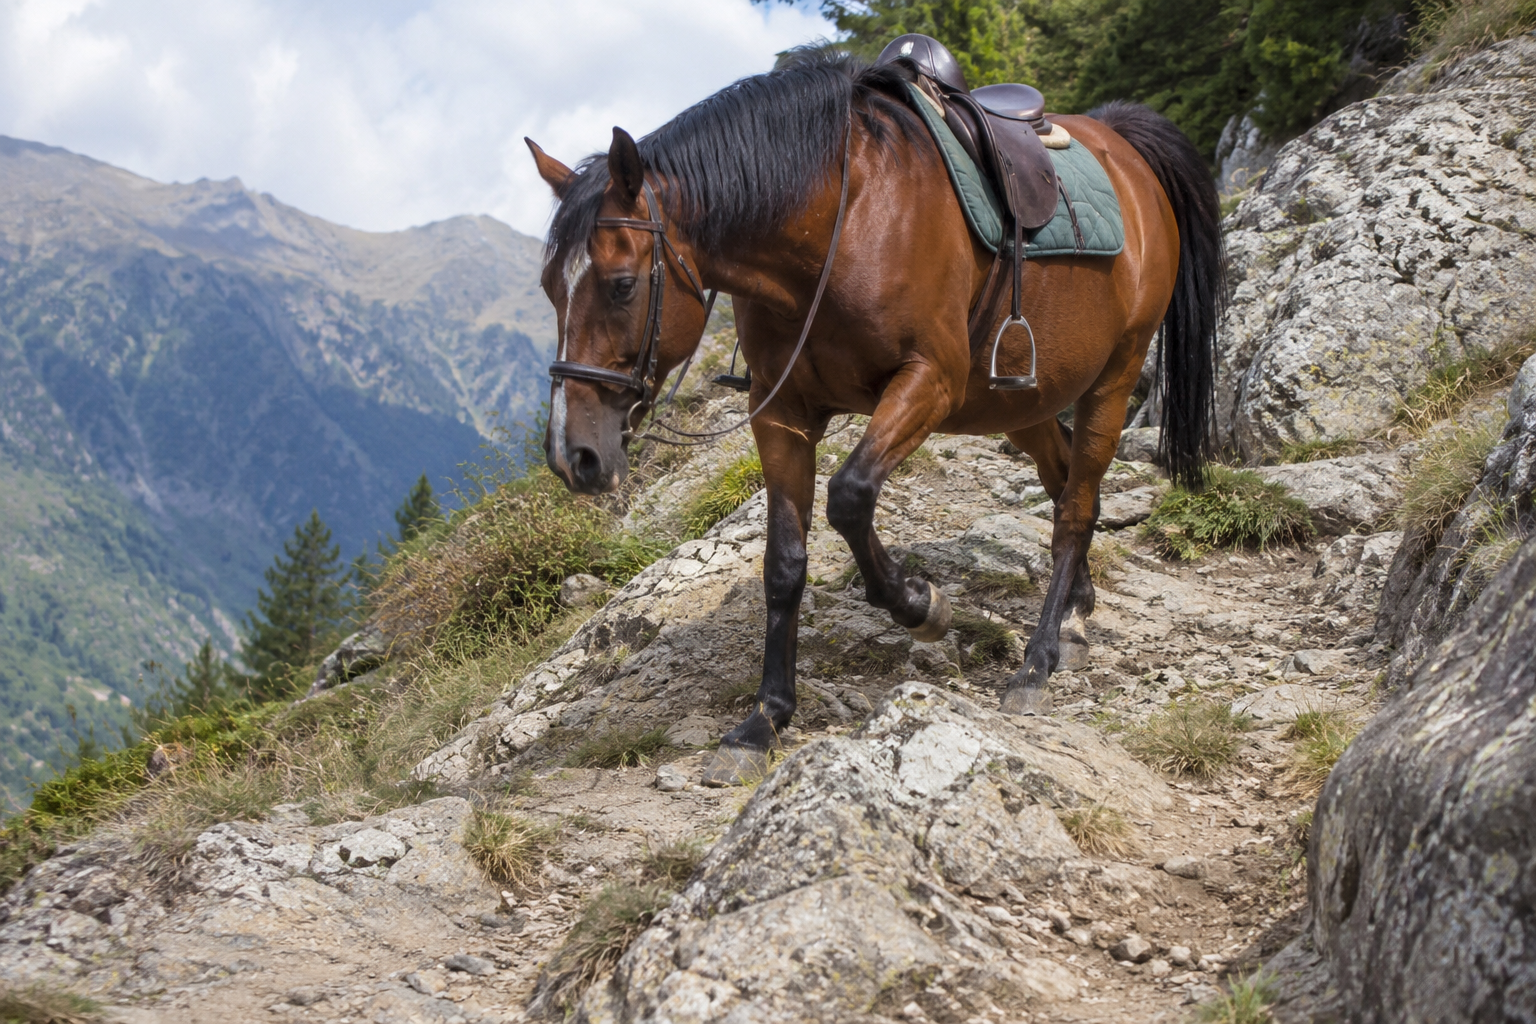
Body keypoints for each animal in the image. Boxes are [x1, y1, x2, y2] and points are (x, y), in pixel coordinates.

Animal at [527, 49, 1222, 785]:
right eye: (549, 289)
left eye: (622, 285)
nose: (573, 456)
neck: (841, 221)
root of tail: (1120, 142)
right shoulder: (782, 414)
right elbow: (783, 562)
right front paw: (764, 719)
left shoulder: (929, 383)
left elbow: (851, 497)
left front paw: (922, 606)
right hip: (1019, 401)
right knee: (1065, 482)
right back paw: (1075, 618)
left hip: (1111, 380)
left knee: (1076, 508)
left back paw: (1036, 663)